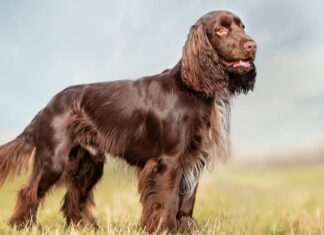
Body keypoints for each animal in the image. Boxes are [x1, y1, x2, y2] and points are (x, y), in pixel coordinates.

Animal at [0, 10, 256, 233]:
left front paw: (187, 229)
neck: (192, 88)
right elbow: (170, 199)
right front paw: (164, 229)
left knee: (73, 197)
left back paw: (86, 227)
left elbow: (187, 202)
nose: (252, 45)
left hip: (89, 163)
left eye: (242, 26)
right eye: (221, 30)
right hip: (54, 160)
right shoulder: (169, 160)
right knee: (29, 192)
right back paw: (23, 226)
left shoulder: (194, 158)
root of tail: (47, 106)